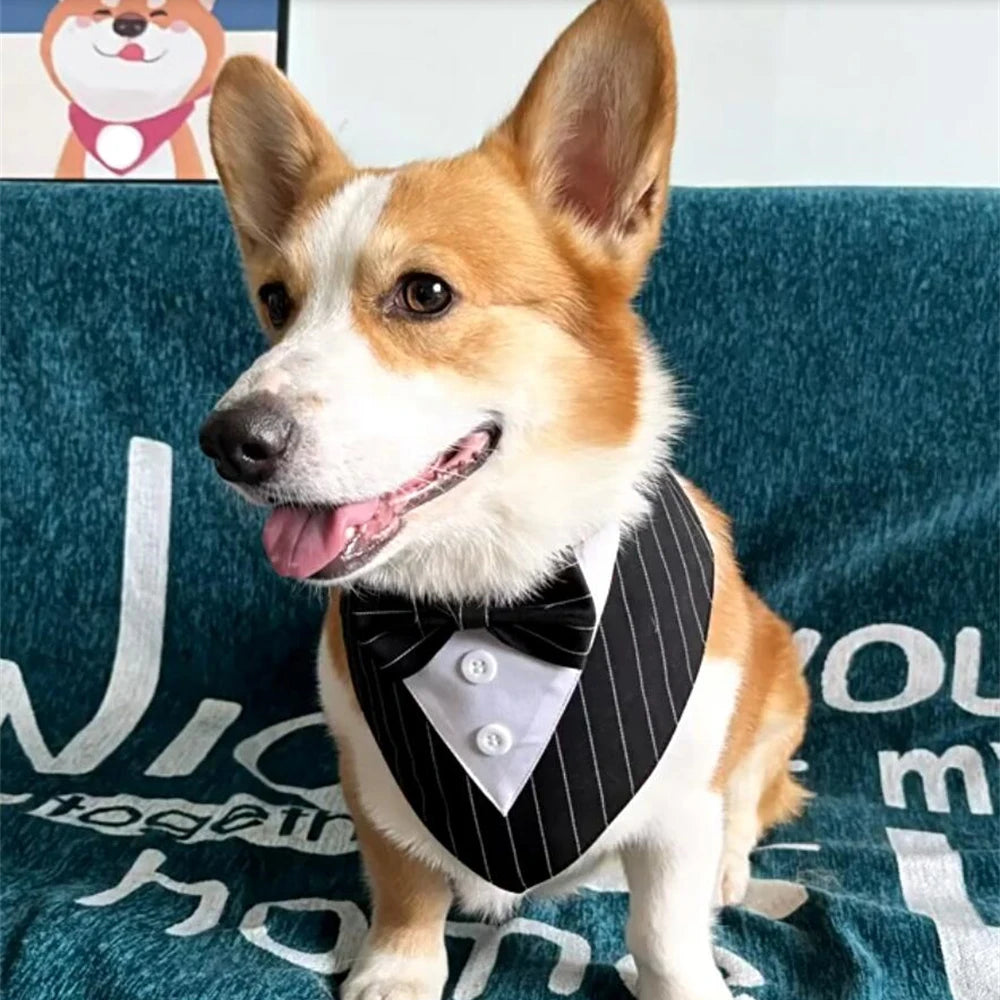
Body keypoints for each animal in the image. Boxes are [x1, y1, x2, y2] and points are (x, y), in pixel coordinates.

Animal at [199, 3, 808, 996]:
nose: (227, 444)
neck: (488, 599)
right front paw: (397, 972)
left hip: (780, 681)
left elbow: (663, 928)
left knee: (753, 800)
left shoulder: (679, 807)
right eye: (277, 301)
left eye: (424, 293)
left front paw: (684, 971)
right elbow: (407, 884)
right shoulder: (374, 778)